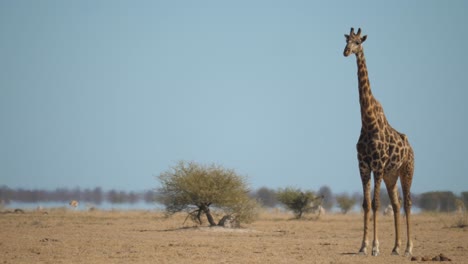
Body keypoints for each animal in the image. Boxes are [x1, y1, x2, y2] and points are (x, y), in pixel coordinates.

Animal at [342, 28, 414, 256]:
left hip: (406, 170)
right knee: (397, 204)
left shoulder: (378, 166)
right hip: (392, 175)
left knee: (407, 202)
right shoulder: (363, 166)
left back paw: (408, 248)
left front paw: (374, 247)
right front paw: (363, 246)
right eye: (347, 40)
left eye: (358, 42)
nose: (346, 52)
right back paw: (396, 247)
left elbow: (375, 203)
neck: (368, 122)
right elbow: (366, 204)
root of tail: (411, 148)